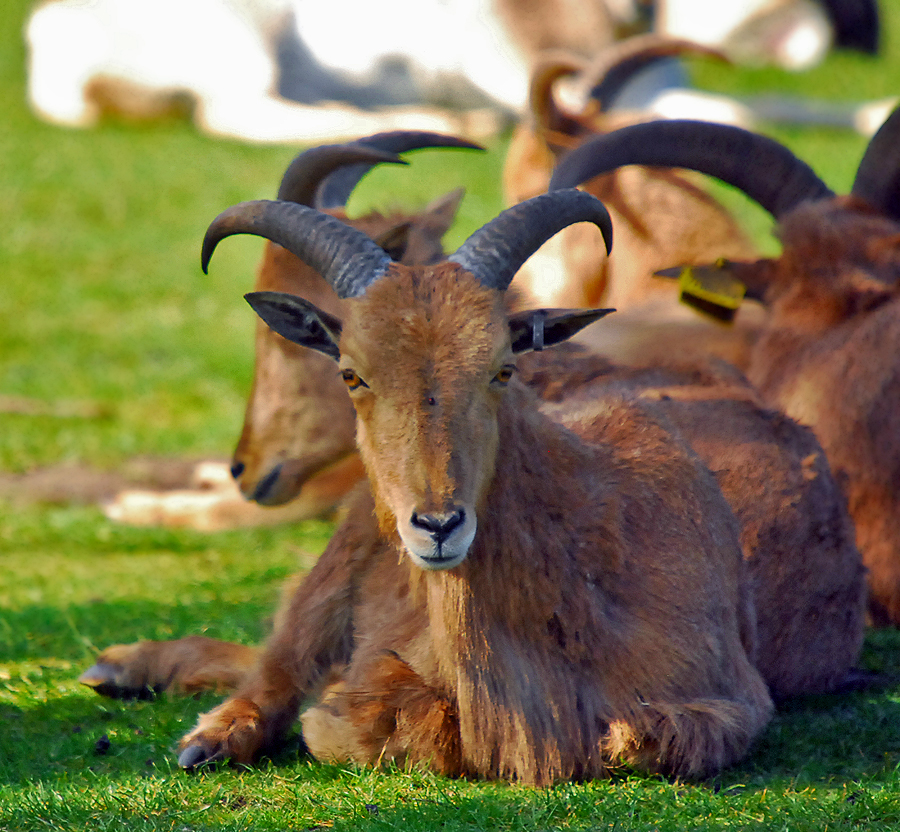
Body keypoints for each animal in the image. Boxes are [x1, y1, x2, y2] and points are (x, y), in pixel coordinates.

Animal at [172, 187, 775, 784]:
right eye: (352, 374)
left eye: (503, 368)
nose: (438, 526)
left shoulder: (731, 702)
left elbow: (632, 740)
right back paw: (207, 738)